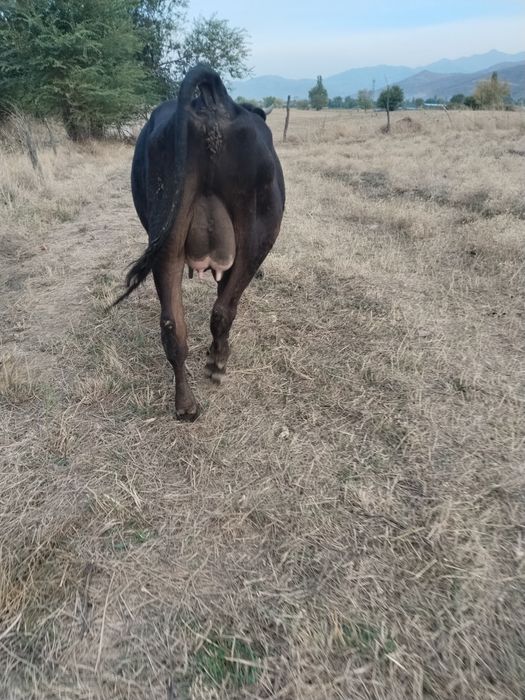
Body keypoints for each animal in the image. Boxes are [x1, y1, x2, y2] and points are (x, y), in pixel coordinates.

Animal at [114, 65, 285, 420]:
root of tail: (212, 106)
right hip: (256, 237)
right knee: (223, 309)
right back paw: (217, 363)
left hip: (165, 239)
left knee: (172, 326)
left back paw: (186, 405)